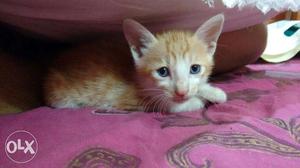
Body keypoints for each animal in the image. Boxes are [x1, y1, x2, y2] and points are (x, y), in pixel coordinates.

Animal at [44, 13, 227, 113]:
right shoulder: (128, 98)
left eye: (195, 68)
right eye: (162, 72)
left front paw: (212, 92)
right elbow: (171, 105)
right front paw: (197, 101)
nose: (181, 92)